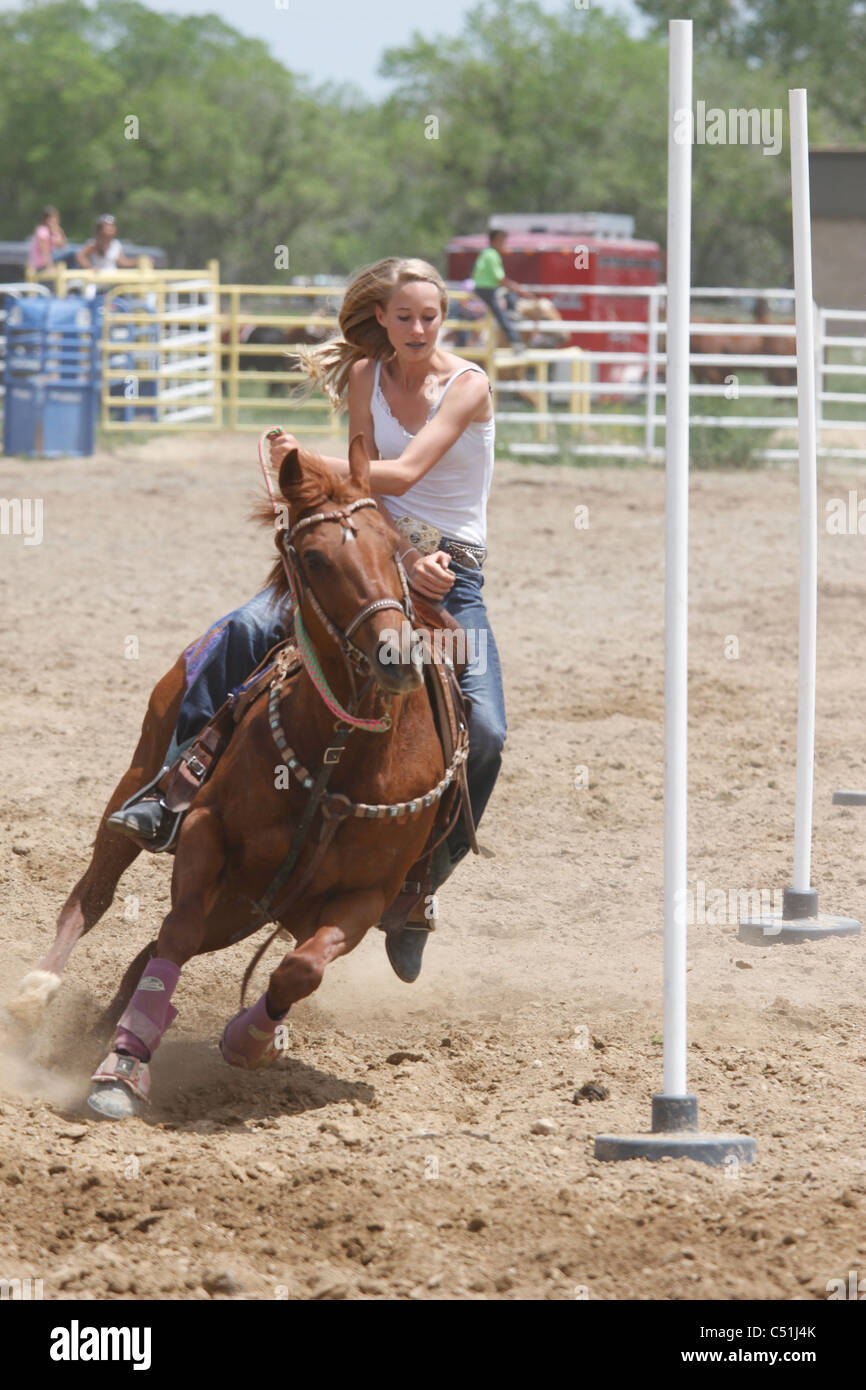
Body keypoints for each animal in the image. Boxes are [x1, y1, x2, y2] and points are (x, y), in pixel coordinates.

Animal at [7, 438, 464, 1118]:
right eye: (314, 557)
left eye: (391, 548)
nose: (397, 658)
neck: (341, 757)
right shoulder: (207, 829)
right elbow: (176, 931)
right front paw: (123, 1068)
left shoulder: (368, 894)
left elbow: (300, 969)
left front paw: (249, 1039)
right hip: (144, 778)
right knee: (96, 895)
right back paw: (39, 996)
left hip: (244, 907)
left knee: (147, 953)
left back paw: (100, 1034)